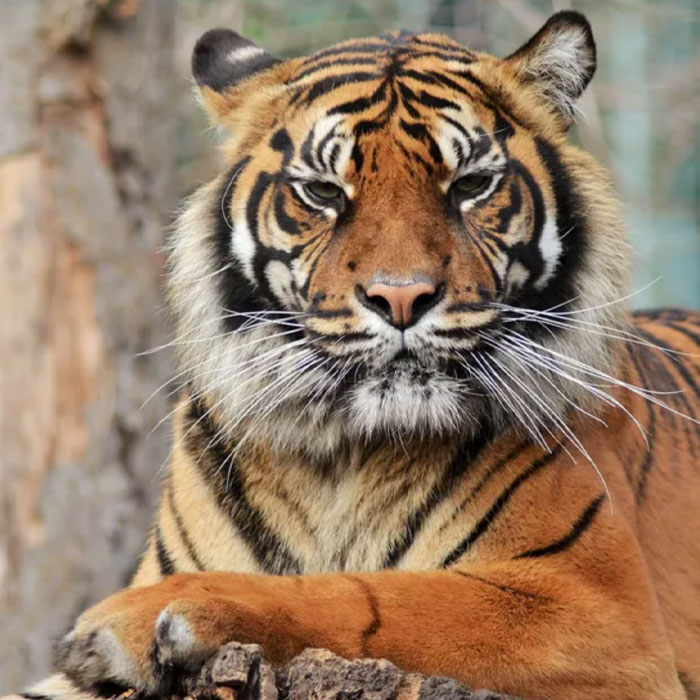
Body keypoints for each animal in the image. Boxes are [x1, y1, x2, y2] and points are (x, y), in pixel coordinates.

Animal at [11, 10, 700, 700]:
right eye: (322, 192)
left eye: (471, 185)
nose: (401, 296)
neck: (340, 457)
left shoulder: (599, 612)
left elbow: (369, 596)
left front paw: (135, 620)